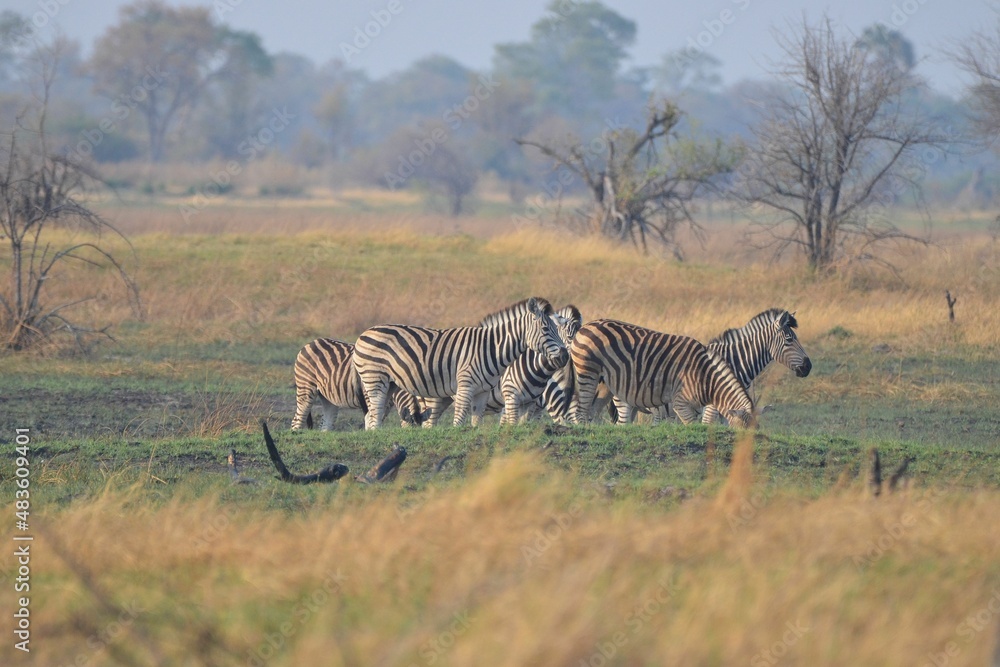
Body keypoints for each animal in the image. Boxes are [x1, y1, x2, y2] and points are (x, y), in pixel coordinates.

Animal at [290, 338, 425, 430]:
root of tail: (309, 344)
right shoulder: (368, 395)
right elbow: (371, 418)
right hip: (305, 387)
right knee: (296, 420)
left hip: (327, 396)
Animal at [352, 297, 568, 429]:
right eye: (545, 329)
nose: (565, 356)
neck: (492, 347)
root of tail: (364, 333)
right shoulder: (466, 386)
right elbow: (459, 421)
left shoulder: (482, 392)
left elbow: (475, 422)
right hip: (375, 378)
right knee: (374, 413)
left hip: (390, 384)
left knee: (372, 415)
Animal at [571, 319, 755, 428]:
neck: (706, 379)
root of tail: (585, 326)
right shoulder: (680, 403)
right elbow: (691, 426)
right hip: (588, 372)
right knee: (581, 410)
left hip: (605, 383)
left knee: (594, 410)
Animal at [609, 308, 811, 425]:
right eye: (789, 340)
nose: (808, 367)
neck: (734, 362)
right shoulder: (712, 407)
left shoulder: (733, 408)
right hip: (627, 404)